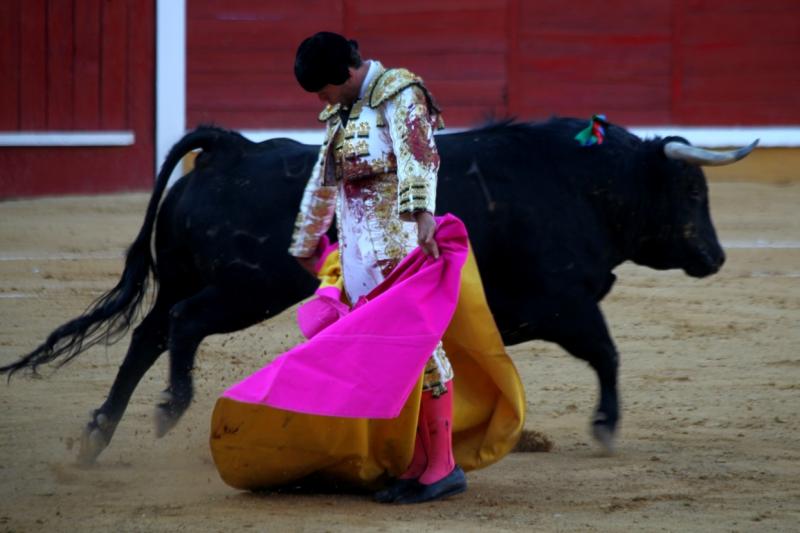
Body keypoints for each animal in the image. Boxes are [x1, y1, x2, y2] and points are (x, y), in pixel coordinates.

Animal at [1, 117, 756, 462]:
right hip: (248, 289)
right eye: (693, 191)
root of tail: (233, 147)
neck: (584, 183)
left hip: (194, 278)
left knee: (149, 334)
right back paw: (168, 408)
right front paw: (604, 426)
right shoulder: (565, 303)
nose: (717, 256)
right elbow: (607, 353)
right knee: (183, 325)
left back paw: (96, 435)